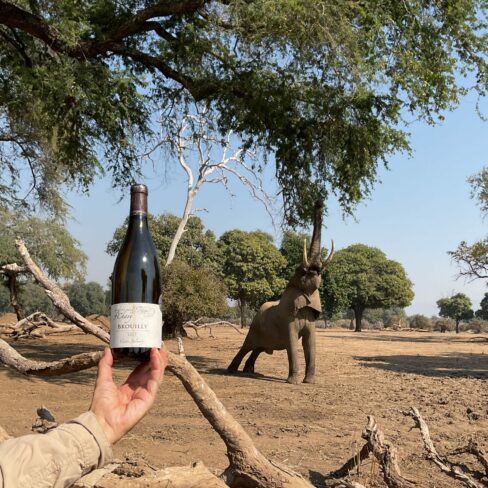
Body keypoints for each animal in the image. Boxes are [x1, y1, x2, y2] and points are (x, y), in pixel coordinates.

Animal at [227, 200, 334, 384]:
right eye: (301, 271)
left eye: (319, 274)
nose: (318, 202)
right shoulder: (288, 315)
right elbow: (292, 343)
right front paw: (293, 382)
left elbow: (310, 343)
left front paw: (309, 382)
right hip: (254, 325)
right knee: (247, 346)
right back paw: (231, 371)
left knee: (258, 349)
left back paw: (249, 371)